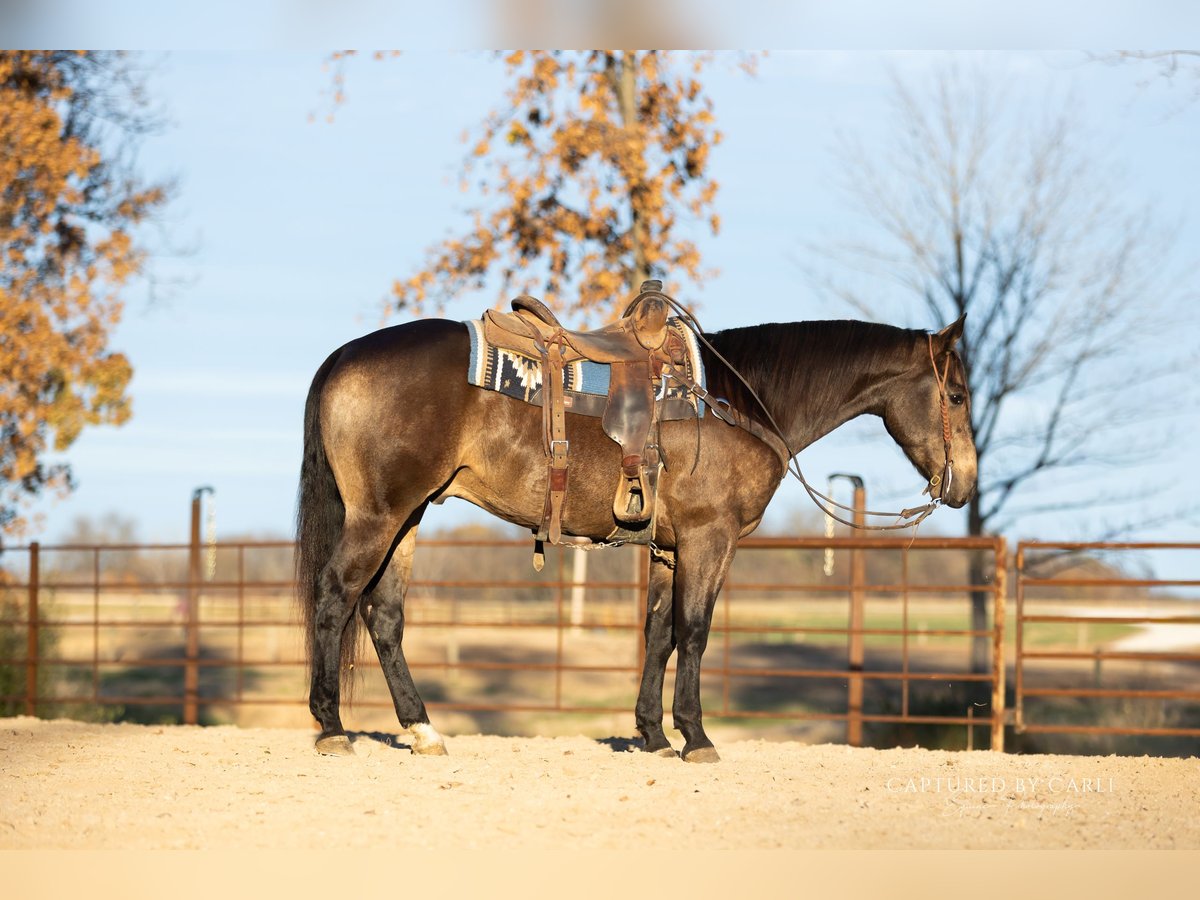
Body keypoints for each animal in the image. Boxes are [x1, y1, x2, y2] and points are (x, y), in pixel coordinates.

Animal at [296, 311, 977, 762]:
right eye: (956, 394)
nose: (964, 484)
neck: (737, 402)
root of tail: (342, 357)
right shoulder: (709, 540)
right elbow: (695, 632)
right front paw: (696, 737)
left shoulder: (670, 550)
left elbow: (660, 634)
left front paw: (652, 734)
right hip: (379, 517)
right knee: (334, 597)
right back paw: (331, 728)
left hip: (407, 519)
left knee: (384, 617)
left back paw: (422, 730)